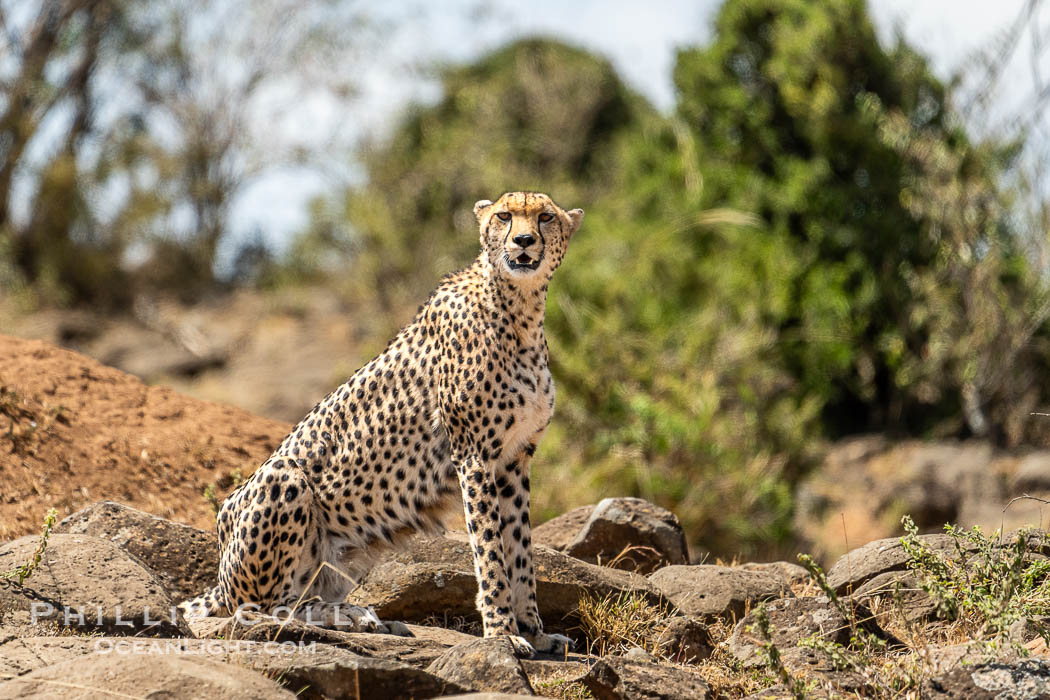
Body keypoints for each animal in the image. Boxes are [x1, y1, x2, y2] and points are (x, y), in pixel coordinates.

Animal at [181, 192, 588, 659]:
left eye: (545, 217)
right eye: (504, 216)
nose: (523, 241)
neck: (521, 308)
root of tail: (219, 571)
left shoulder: (515, 460)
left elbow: (520, 553)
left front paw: (535, 632)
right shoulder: (475, 458)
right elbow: (490, 551)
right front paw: (502, 632)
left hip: (357, 546)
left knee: (299, 598)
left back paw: (360, 616)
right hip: (284, 481)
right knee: (263, 610)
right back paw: (350, 616)